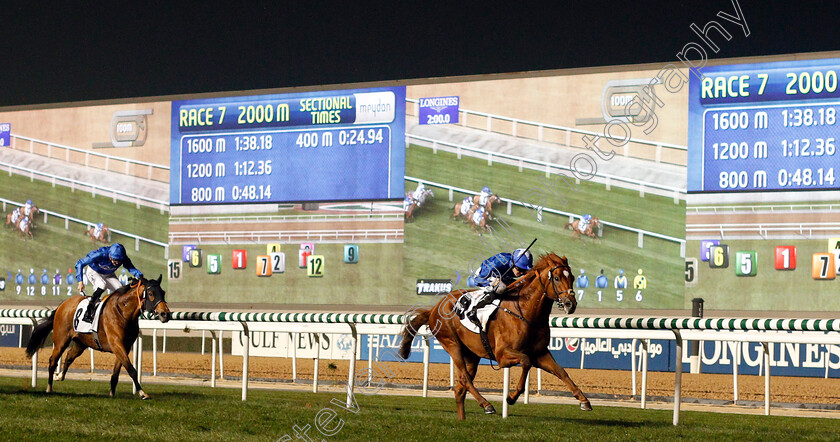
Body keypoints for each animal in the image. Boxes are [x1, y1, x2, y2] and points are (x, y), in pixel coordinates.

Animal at [23, 274, 171, 398]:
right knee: (53, 361)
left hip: (81, 342)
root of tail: (62, 305)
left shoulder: (125, 346)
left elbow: (116, 373)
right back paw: (49, 388)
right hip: (61, 340)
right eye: (151, 293)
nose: (165, 314)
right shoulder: (117, 344)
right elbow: (131, 369)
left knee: (69, 356)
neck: (123, 312)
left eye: (163, 292)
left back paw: (59, 376)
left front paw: (112, 394)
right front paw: (142, 393)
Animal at [400, 254, 592, 420]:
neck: (526, 313)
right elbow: (526, 361)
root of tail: (434, 309)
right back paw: (486, 404)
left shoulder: (540, 353)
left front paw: (584, 400)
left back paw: (463, 419)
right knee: (464, 378)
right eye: (557, 278)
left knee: (460, 387)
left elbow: (561, 372)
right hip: (452, 344)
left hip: (472, 354)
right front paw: (511, 397)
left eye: (572, 277)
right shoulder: (502, 355)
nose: (570, 304)